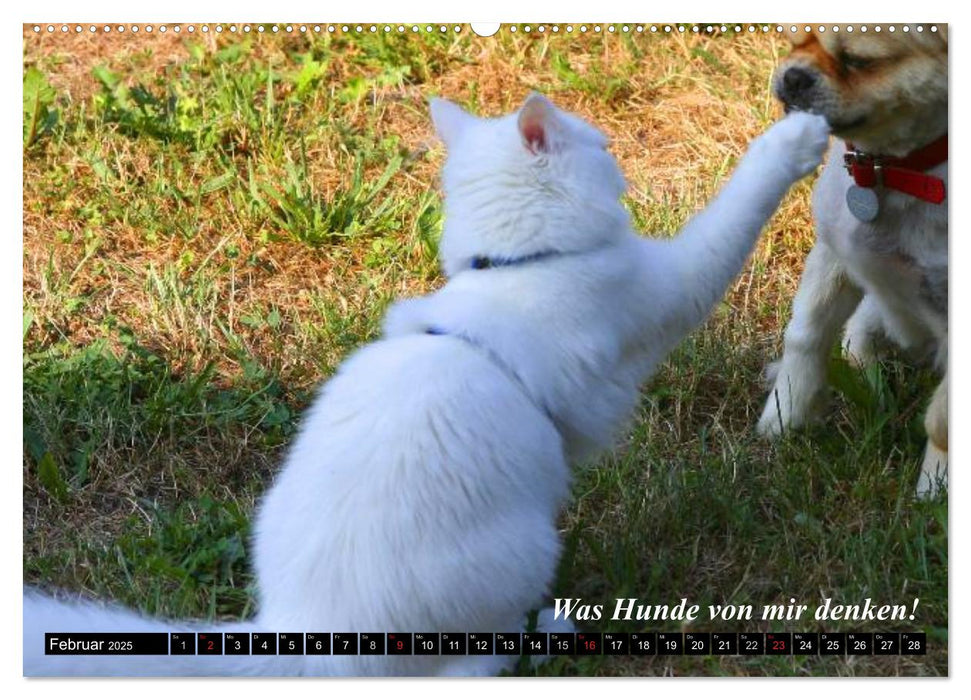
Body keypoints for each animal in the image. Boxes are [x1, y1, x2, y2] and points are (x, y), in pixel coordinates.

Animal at [22, 95, 828, 676]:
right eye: (602, 147)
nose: (616, 155)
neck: (513, 266)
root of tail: (304, 636)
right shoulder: (662, 291)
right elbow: (732, 215)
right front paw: (796, 139)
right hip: (525, 550)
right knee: (475, 663)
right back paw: (553, 630)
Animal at [760, 26, 948, 498]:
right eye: (792, 42)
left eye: (860, 62)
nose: (794, 77)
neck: (892, 170)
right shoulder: (834, 254)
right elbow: (805, 335)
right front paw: (785, 413)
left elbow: (943, 421)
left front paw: (934, 489)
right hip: (876, 304)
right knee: (857, 340)